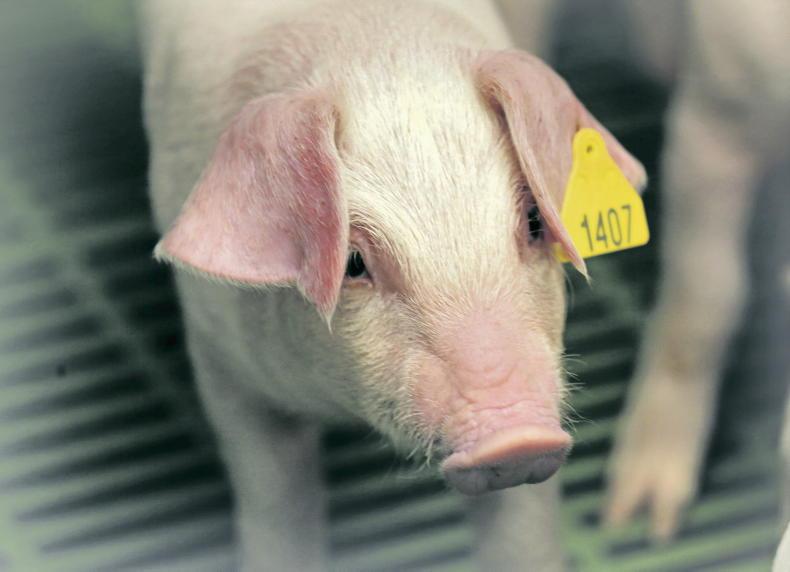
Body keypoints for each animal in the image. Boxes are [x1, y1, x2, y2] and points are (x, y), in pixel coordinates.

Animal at [139, 0, 646, 569]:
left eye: (535, 221)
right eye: (353, 261)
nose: (517, 439)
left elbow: (521, 532)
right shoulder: (220, 360)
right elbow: (277, 500)